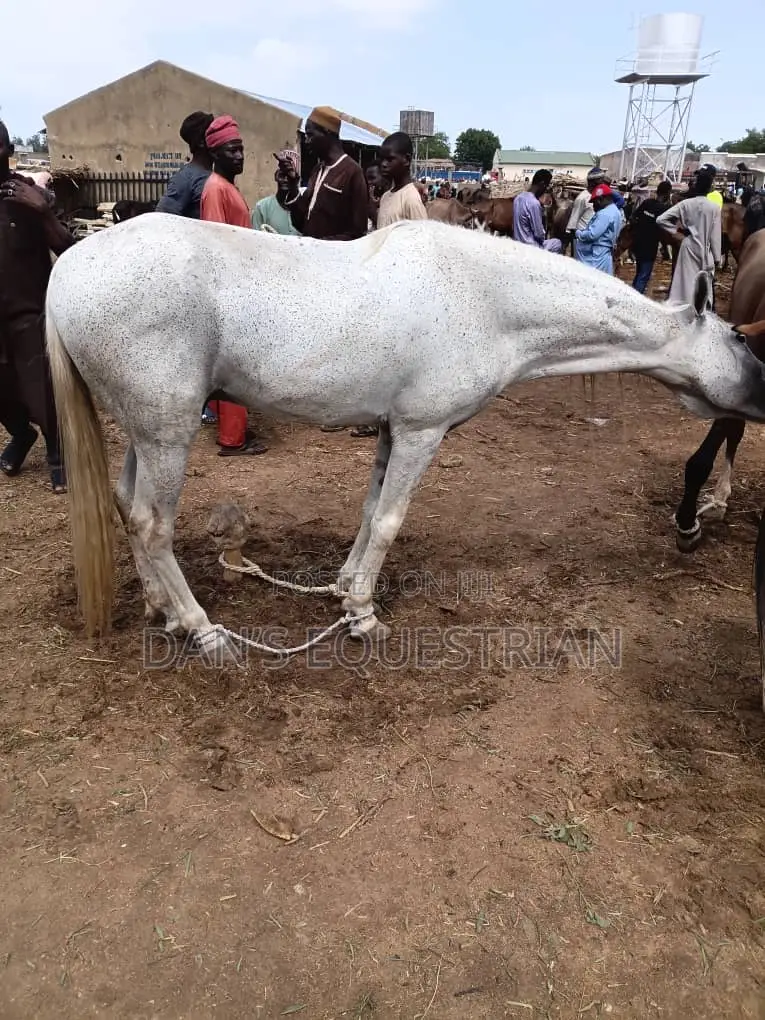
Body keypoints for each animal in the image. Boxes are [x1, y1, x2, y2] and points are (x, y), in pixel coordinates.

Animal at [45, 214, 765, 662]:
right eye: (736, 336)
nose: (762, 393)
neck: (487, 297)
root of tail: (65, 270)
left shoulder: (392, 430)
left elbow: (369, 512)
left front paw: (342, 590)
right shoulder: (422, 432)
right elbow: (391, 520)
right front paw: (364, 615)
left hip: (147, 430)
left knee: (127, 506)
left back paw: (162, 610)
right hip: (168, 433)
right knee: (153, 525)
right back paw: (202, 630)